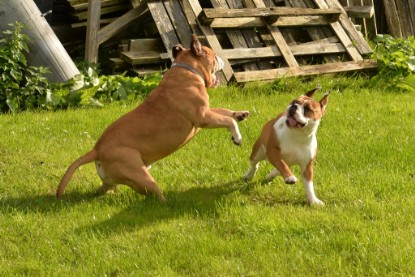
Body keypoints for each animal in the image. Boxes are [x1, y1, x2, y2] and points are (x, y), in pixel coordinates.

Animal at [56, 35, 249, 203]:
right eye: (213, 55)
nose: (221, 58)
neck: (187, 69)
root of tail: (96, 149)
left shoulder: (209, 111)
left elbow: (225, 112)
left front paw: (240, 114)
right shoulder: (203, 117)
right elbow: (228, 120)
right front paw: (237, 137)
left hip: (114, 179)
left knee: (104, 189)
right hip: (141, 175)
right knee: (155, 194)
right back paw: (167, 203)